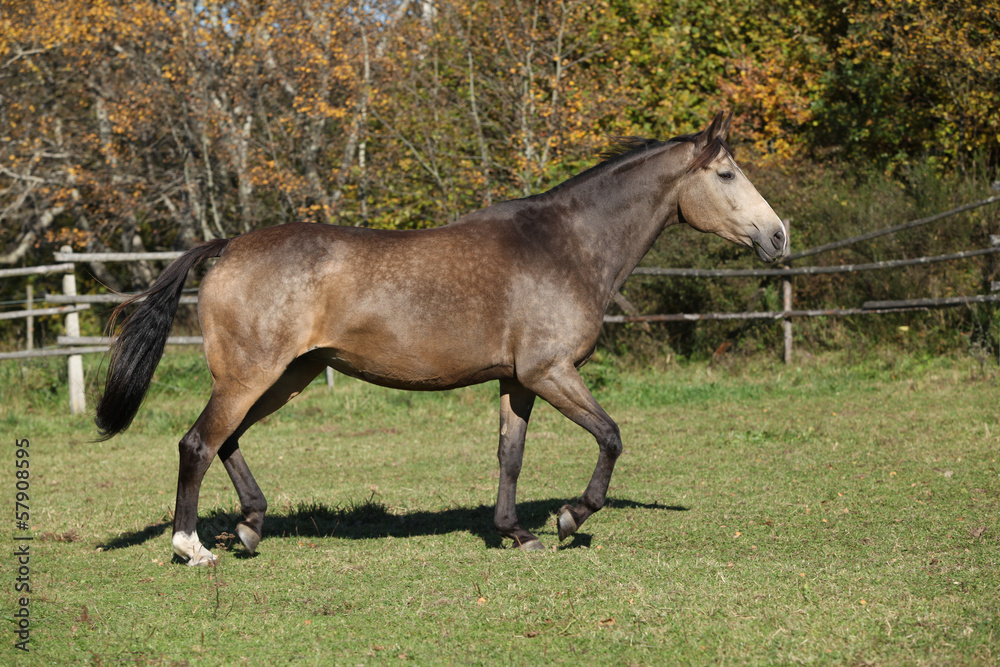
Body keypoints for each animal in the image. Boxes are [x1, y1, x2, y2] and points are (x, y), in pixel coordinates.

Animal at [95, 112, 786, 565]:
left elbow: (510, 456)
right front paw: (570, 518)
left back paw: (250, 527)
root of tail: (228, 247)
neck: (564, 247)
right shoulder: (551, 372)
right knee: (198, 443)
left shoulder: (519, 381)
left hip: (285, 375)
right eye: (727, 174)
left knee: (227, 439)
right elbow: (611, 437)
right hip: (252, 375)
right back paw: (191, 546)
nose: (778, 236)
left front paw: (517, 533)